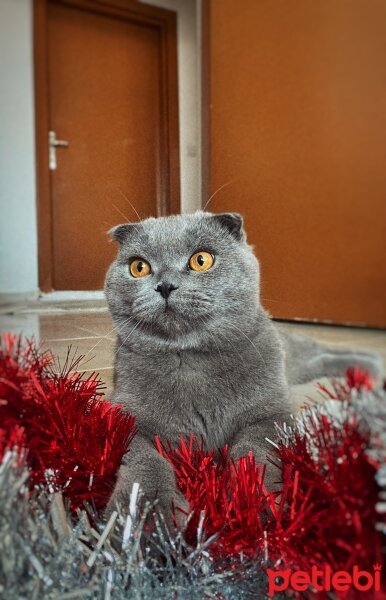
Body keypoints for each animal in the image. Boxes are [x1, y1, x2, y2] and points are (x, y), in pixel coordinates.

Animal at [104, 212, 384, 524]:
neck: (190, 359)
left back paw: (367, 366)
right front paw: (148, 512)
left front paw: (252, 495)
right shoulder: (125, 416)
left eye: (201, 260)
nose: (165, 285)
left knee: (323, 353)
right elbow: (144, 459)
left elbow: (254, 448)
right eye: (139, 267)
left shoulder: (270, 413)